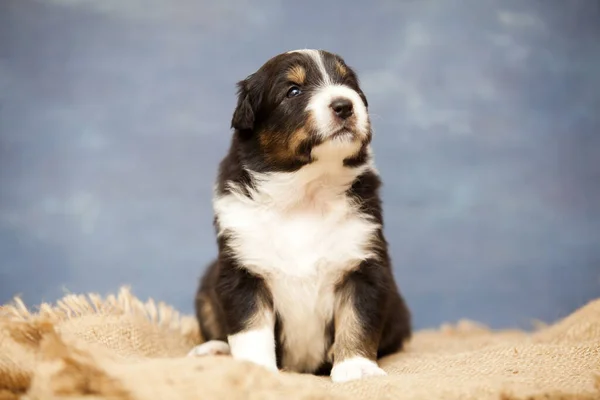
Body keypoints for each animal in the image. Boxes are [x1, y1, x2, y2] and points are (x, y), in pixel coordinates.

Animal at [190, 48, 410, 382]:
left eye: (348, 83)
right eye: (293, 91)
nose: (344, 105)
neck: (306, 192)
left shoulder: (364, 265)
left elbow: (357, 320)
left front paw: (356, 367)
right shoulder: (242, 271)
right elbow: (251, 329)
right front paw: (255, 368)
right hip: (206, 285)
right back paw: (212, 349)